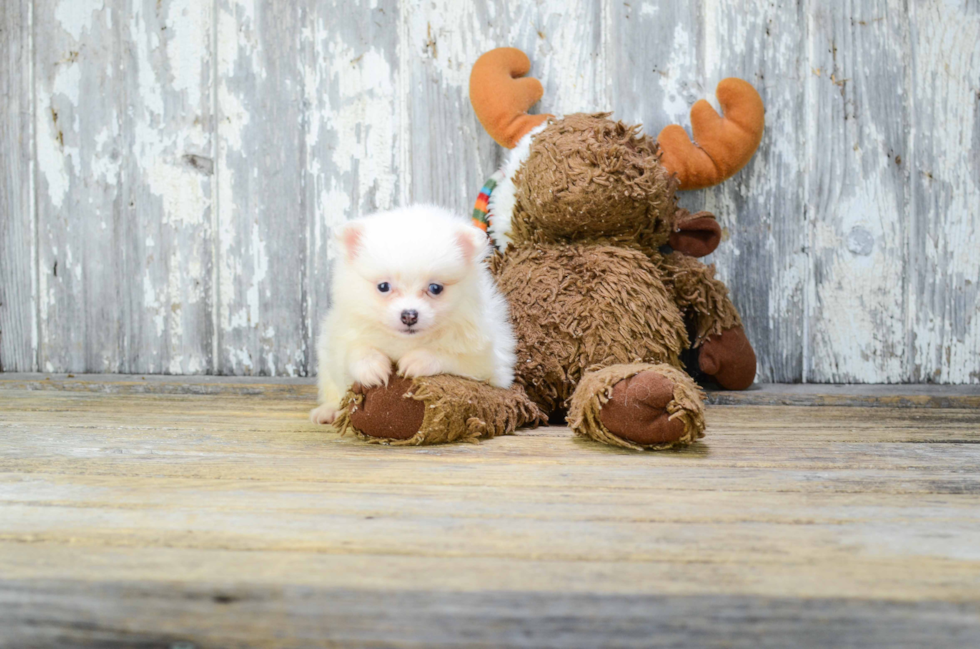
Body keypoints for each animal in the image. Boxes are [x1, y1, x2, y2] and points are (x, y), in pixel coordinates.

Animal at [310, 204, 516, 426]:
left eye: (435, 288)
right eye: (384, 287)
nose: (409, 315)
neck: (406, 341)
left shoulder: (490, 363)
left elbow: (453, 358)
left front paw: (420, 359)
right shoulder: (341, 337)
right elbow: (355, 351)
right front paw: (371, 366)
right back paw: (328, 411)